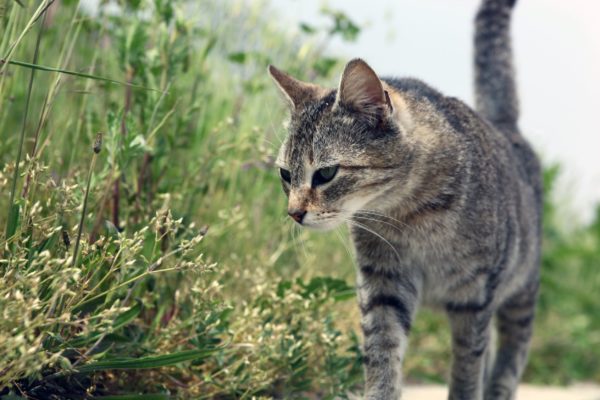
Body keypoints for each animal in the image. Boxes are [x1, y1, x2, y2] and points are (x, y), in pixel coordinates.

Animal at [270, 0, 540, 396]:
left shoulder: (474, 296)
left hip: (520, 294)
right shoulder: (383, 282)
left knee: (509, 355)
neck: (408, 214)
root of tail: (506, 127)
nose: (293, 213)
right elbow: (382, 350)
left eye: (326, 173)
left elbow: (467, 366)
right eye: (286, 175)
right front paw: (379, 391)